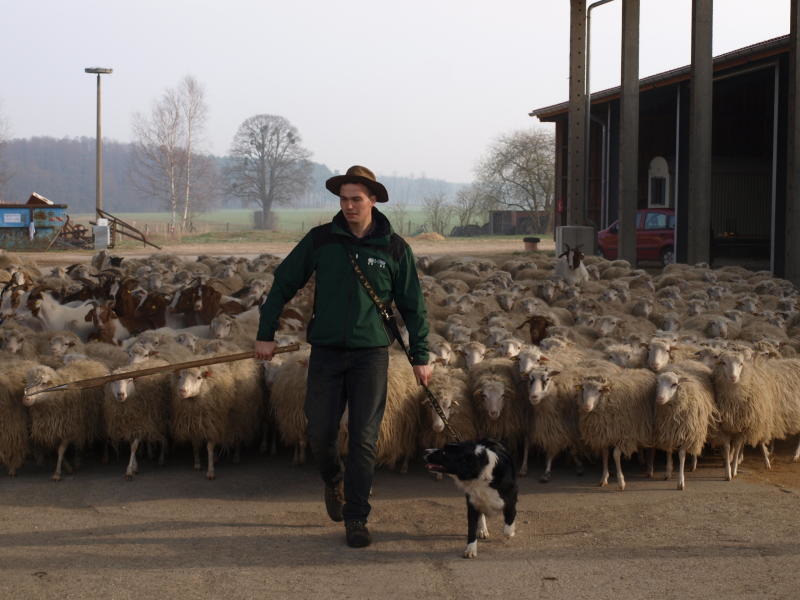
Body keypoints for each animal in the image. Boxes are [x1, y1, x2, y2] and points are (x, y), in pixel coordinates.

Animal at [652, 360, 716, 488]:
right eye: (657, 383)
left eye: (674, 384)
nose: (660, 398)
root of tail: (691, 360)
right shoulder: (668, 430)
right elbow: (668, 450)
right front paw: (668, 472)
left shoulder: (686, 431)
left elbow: (681, 455)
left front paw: (680, 481)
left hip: (696, 427)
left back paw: (693, 463)